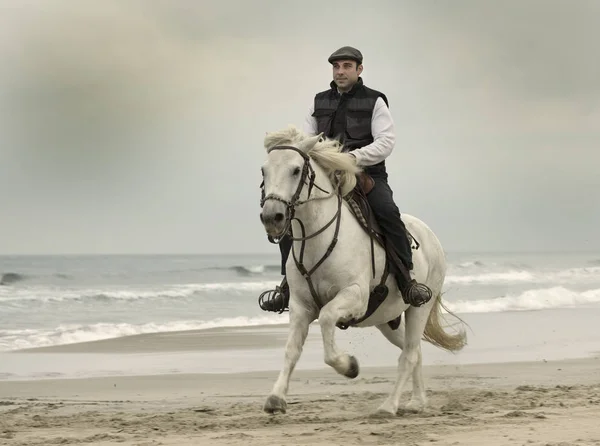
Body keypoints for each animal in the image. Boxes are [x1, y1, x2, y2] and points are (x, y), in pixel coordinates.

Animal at [258, 124, 468, 414]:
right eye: (264, 171)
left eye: (296, 170)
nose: (272, 217)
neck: (319, 239)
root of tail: (430, 235)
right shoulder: (300, 306)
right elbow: (291, 350)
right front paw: (276, 398)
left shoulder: (353, 297)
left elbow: (326, 319)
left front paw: (349, 366)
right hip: (387, 320)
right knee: (413, 351)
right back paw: (416, 402)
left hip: (418, 308)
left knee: (409, 353)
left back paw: (388, 406)